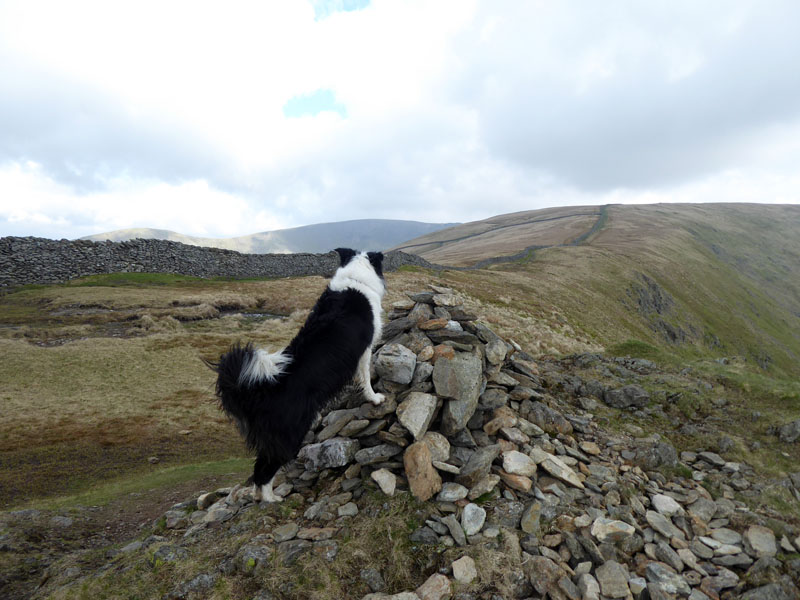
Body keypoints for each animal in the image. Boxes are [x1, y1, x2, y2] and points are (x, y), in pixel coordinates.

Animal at [209, 247, 388, 502]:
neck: (356, 278)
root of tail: (258, 391)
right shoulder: (364, 349)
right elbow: (365, 377)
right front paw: (374, 398)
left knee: (258, 467)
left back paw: (258, 496)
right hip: (289, 433)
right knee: (266, 468)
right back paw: (272, 499)